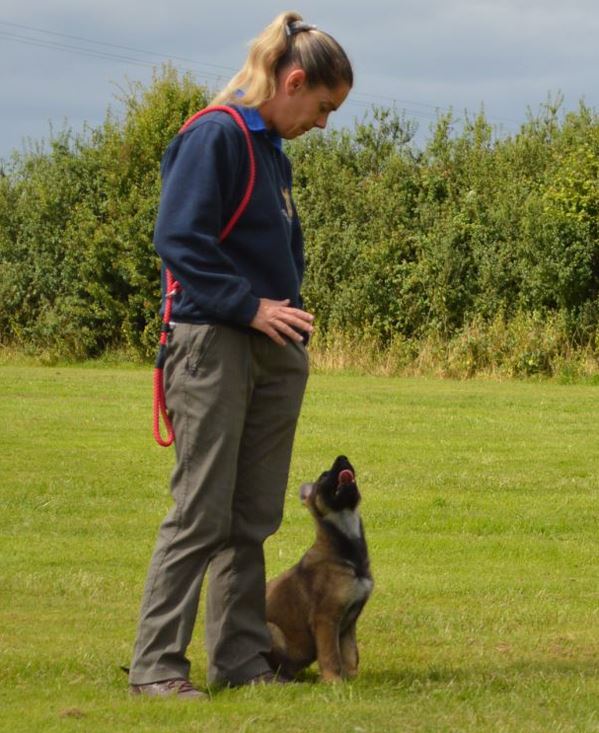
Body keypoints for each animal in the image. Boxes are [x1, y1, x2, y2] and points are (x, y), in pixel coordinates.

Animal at [266, 454, 372, 684]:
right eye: (324, 475)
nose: (343, 457)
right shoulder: (326, 618)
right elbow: (331, 655)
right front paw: (334, 682)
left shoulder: (348, 623)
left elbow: (350, 654)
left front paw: (352, 680)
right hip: (272, 631)